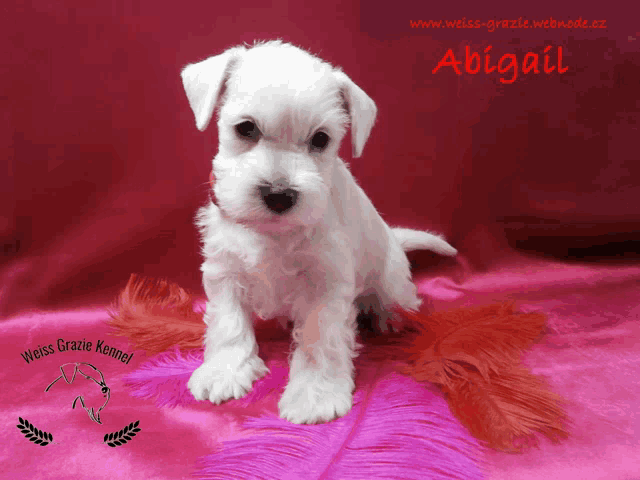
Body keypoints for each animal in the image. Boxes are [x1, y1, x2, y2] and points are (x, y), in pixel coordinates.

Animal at [182, 41, 458, 424]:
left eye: (321, 139)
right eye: (246, 128)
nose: (279, 194)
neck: (273, 233)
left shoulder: (324, 283)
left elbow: (319, 339)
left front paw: (315, 393)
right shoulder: (224, 269)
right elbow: (228, 324)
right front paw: (225, 371)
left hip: (391, 281)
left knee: (396, 299)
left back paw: (388, 318)